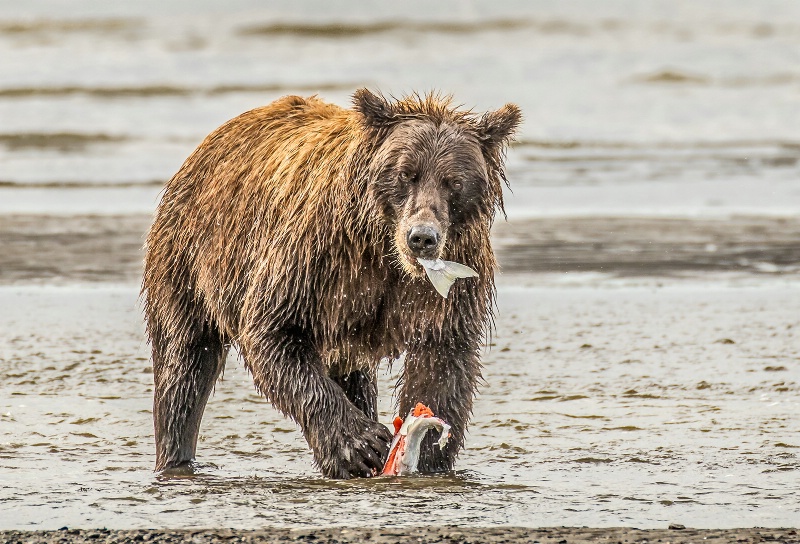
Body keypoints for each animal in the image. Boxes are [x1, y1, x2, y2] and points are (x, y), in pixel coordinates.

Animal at [141, 88, 520, 476]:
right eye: (406, 173)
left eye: (454, 182)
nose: (422, 237)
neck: (385, 253)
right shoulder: (317, 256)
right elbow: (274, 331)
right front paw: (360, 444)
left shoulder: (449, 284)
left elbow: (443, 357)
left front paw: (426, 452)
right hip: (189, 257)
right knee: (184, 364)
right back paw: (176, 455)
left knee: (355, 376)